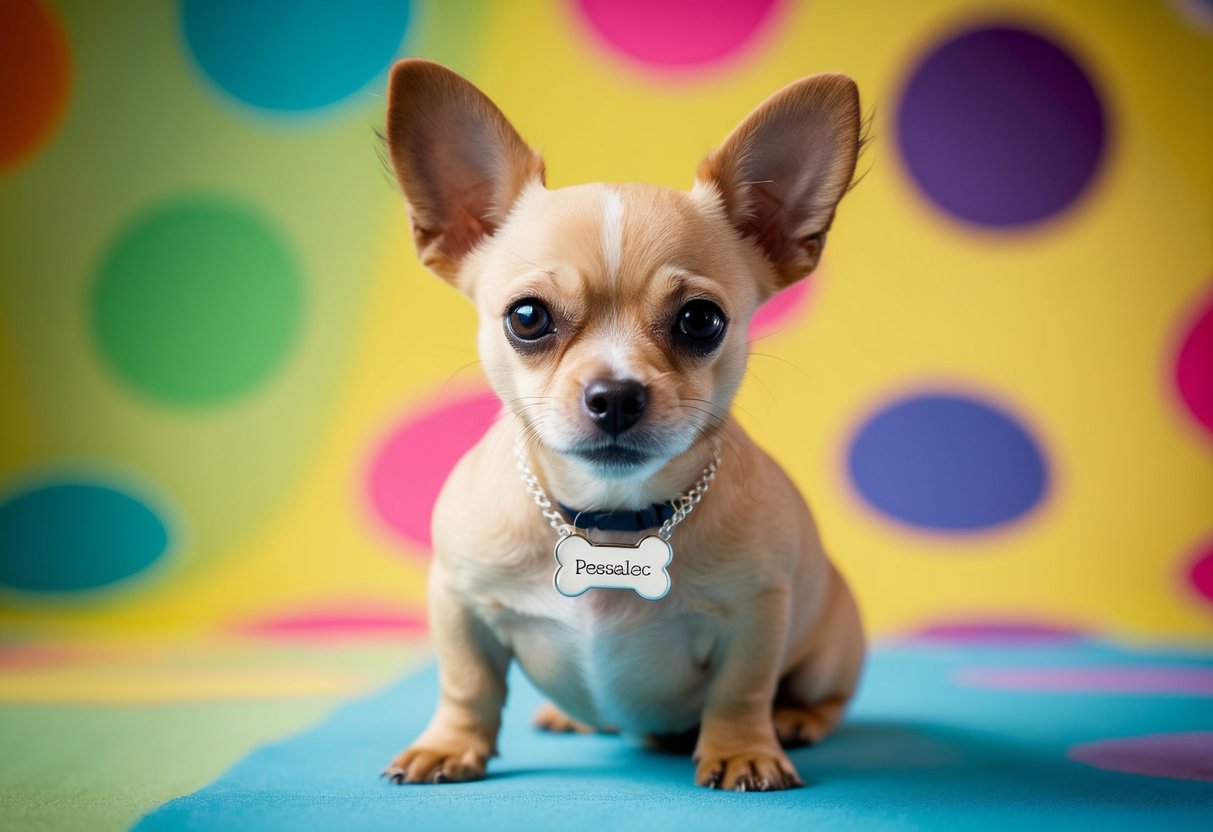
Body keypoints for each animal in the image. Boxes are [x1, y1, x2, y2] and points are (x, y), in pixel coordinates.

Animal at [378, 60, 863, 795]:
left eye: (701, 321)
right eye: (526, 317)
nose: (614, 395)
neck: (609, 516)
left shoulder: (757, 612)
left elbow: (741, 690)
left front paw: (741, 751)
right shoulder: (459, 600)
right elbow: (467, 683)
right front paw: (449, 745)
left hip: (833, 644)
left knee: (821, 695)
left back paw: (798, 719)